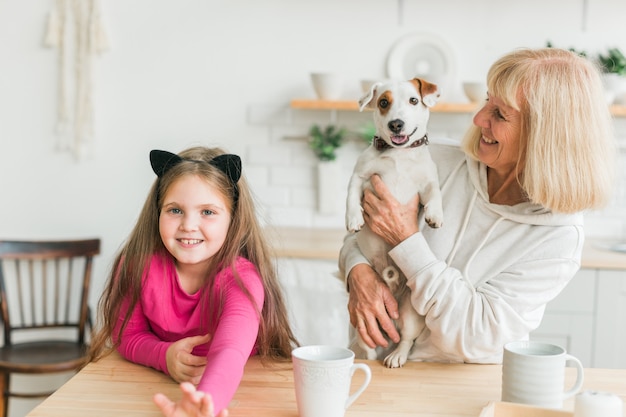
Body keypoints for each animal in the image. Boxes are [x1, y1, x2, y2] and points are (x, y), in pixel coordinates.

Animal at [344, 76, 442, 366]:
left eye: (413, 100)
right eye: (383, 102)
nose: (395, 124)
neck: (399, 155)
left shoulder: (428, 181)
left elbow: (435, 195)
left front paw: (435, 215)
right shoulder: (360, 175)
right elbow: (351, 195)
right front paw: (353, 218)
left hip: (410, 315)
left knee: (406, 340)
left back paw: (396, 356)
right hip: (364, 315)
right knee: (367, 340)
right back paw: (366, 355)